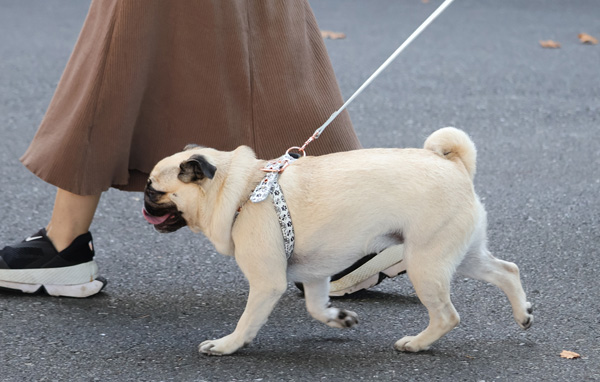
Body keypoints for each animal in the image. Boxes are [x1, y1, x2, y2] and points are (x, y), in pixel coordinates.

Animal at [143, 127, 532, 356]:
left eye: (153, 191)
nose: (143, 206)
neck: (241, 190)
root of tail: (456, 167)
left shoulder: (267, 283)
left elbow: (248, 321)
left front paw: (228, 345)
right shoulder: (315, 275)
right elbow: (316, 307)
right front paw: (338, 318)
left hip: (426, 263)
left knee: (448, 316)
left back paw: (417, 343)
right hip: (462, 254)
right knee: (506, 270)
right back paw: (523, 314)